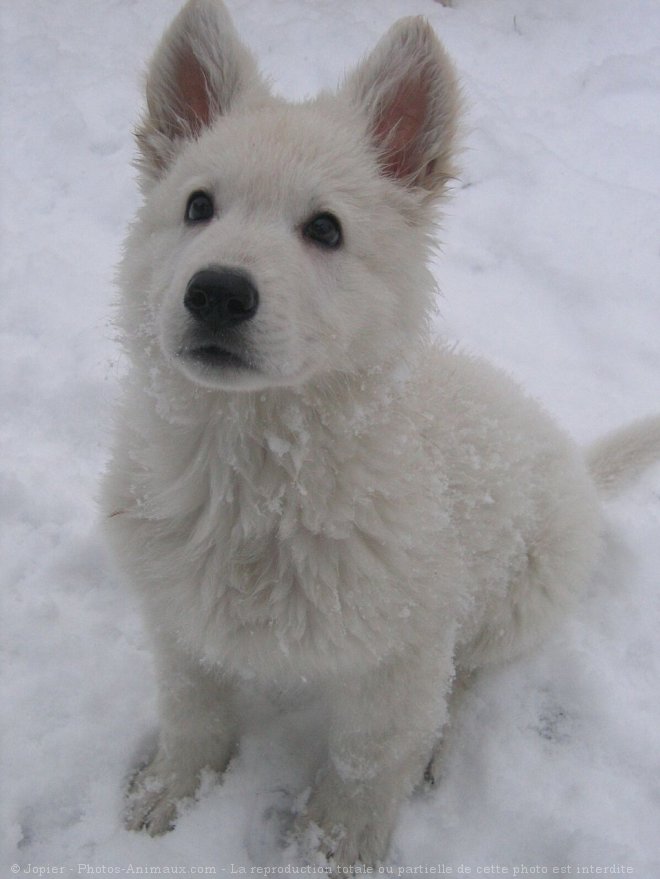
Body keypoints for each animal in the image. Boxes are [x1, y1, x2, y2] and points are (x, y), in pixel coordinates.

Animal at [103, 0, 660, 868]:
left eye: (326, 229)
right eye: (197, 206)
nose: (217, 292)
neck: (260, 472)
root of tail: (576, 459)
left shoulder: (401, 656)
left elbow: (369, 760)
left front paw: (332, 848)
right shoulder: (180, 621)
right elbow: (193, 711)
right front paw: (169, 796)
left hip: (521, 597)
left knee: (466, 677)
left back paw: (439, 746)